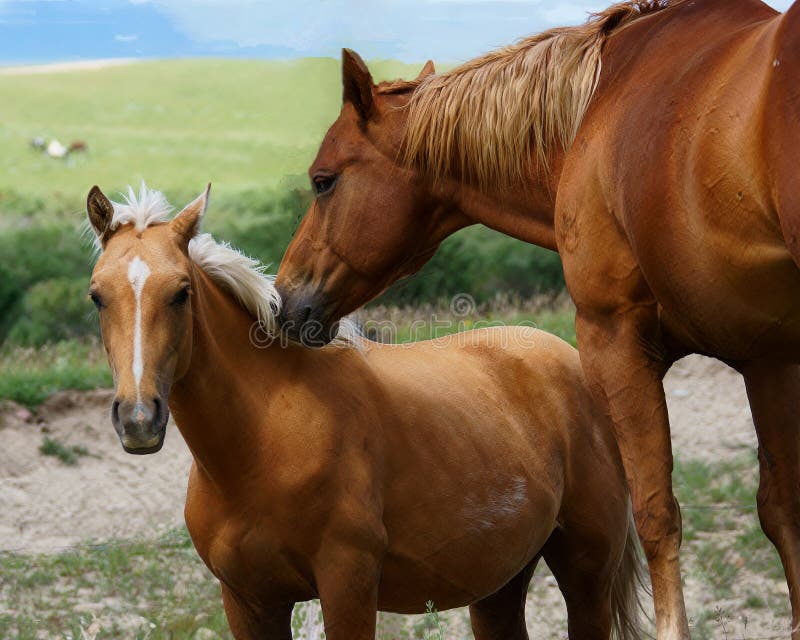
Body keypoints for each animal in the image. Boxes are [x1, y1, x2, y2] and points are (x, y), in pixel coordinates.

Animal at [86, 182, 644, 636]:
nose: (138, 419)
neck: (266, 441)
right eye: (97, 296)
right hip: (499, 585)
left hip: (586, 575)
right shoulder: (248, 601)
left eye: (181, 293)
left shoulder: (347, 587)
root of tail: (571, 362)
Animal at [274, 2, 800, 636]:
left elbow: (656, 512)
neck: (595, 109)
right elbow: (782, 510)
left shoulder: (614, 339)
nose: (284, 299)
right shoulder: (767, 356)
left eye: (323, 181)